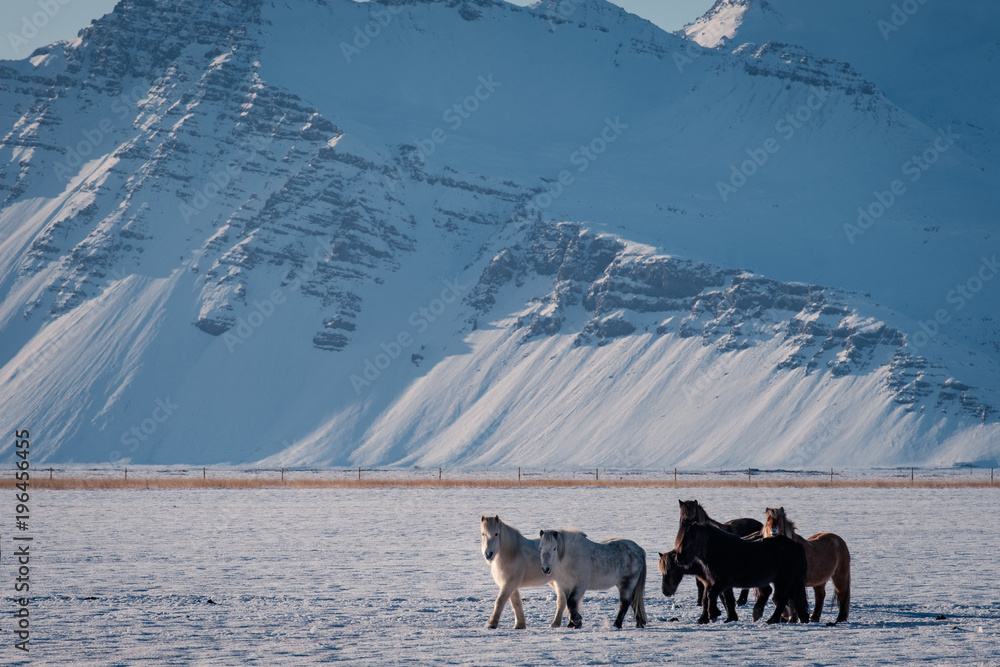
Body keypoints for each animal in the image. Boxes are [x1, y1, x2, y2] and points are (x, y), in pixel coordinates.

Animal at [674, 521, 809, 624]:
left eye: (690, 540)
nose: (678, 558)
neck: (720, 550)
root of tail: (796, 546)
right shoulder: (720, 583)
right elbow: (726, 599)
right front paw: (728, 618)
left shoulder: (722, 582)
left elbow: (710, 595)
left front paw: (713, 614)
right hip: (789, 581)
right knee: (791, 599)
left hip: (783, 581)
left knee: (782, 599)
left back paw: (772, 620)